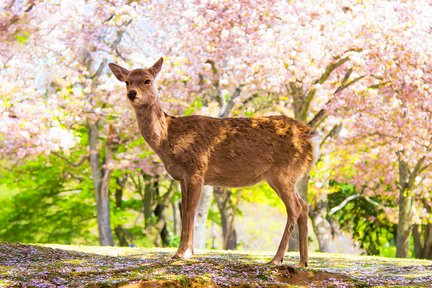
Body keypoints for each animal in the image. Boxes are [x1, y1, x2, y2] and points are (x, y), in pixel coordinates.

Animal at [109, 57, 318, 266]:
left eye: (147, 80)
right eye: (127, 81)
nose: (132, 93)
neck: (168, 138)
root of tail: (310, 137)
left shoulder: (196, 169)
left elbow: (190, 211)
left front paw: (182, 253)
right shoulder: (182, 177)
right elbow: (185, 211)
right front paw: (187, 251)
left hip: (284, 172)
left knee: (295, 208)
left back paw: (276, 259)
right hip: (283, 176)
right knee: (304, 206)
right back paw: (302, 262)